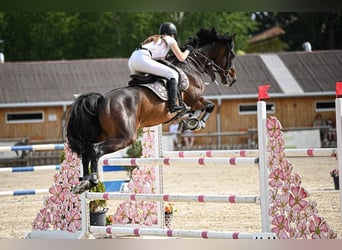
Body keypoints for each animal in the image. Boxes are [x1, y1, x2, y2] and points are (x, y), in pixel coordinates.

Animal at [67, 27, 238, 193]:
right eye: (232, 54)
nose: (232, 79)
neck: (192, 66)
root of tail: (102, 99)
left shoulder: (194, 102)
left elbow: (200, 109)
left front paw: (190, 121)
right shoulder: (195, 100)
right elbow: (209, 105)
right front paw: (196, 123)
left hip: (102, 134)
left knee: (86, 151)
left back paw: (83, 182)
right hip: (125, 137)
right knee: (95, 150)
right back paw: (92, 180)